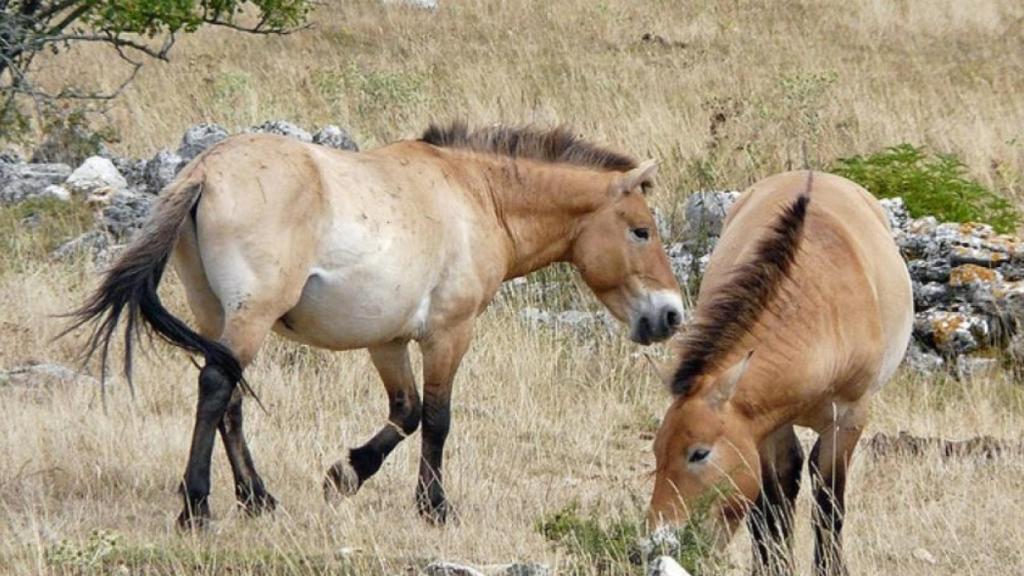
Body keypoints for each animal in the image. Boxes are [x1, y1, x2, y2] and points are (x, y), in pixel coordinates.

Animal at [68, 120, 684, 524]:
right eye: (641, 230)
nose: (671, 314)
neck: (477, 195)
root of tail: (204, 172)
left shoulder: (386, 340)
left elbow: (405, 412)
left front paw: (346, 474)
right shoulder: (448, 333)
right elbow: (437, 419)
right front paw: (434, 508)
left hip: (216, 313)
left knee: (230, 398)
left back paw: (258, 500)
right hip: (252, 315)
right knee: (218, 386)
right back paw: (197, 506)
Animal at [647, 171, 913, 573]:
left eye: (699, 453)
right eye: (656, 450)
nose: (652, 546)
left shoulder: (849, 419)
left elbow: (829, 503)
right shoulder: (762, 427)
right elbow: (771, 506)